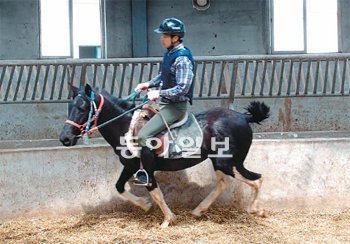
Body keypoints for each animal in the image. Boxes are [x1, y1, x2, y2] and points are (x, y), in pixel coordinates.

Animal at [60, 85, 270, 228]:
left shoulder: (144, 168)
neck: (125, 127)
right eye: (70, 107)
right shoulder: (130, 166)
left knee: (256, 179)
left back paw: (256, 209)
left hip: (227, 162)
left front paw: (167, 219)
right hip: (221, 162)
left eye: (82, 108)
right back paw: (199, 210)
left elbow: (155, 192)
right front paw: (144, 205)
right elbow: (120, 187)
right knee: (226, 183)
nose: (65, 138)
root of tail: (244, 117)